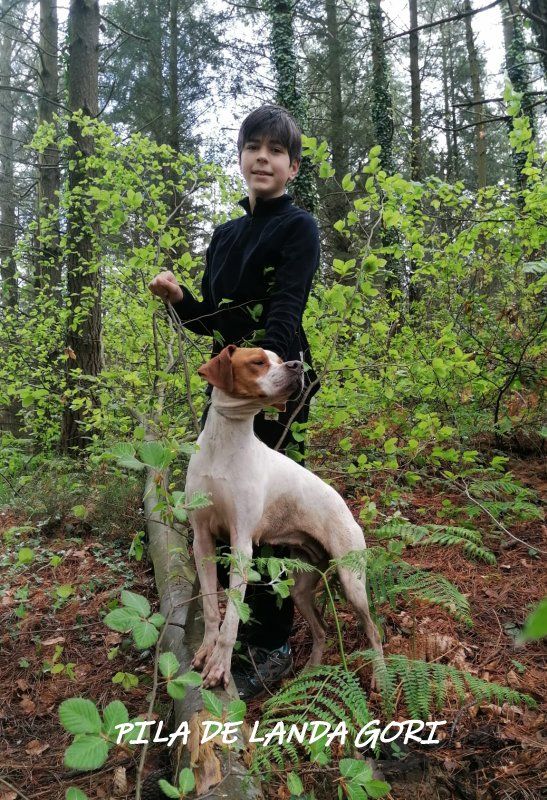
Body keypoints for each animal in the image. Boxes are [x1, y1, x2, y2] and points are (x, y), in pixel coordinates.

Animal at [186, 344, 384, 688]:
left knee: (373, 631)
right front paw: (205, 650)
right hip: (300, 588)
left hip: (352, 583)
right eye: (258, 362)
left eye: (279, 358)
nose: (297, 365)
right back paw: (310, 672)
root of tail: (349, 513)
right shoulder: (202, 540)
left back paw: (381, 678)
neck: (223, 448)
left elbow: (232, 619)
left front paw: (220, 666)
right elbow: (212, 609)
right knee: (322, 630)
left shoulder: (241, 545)